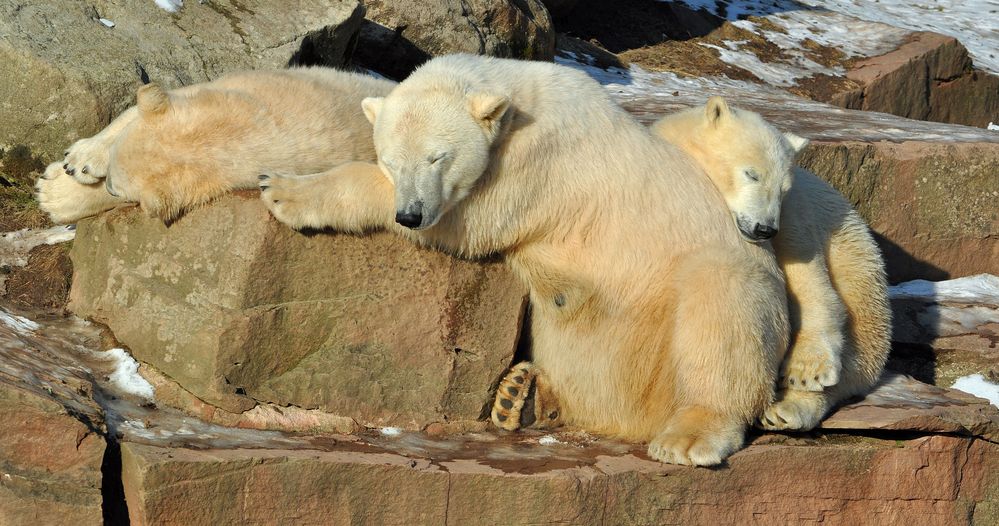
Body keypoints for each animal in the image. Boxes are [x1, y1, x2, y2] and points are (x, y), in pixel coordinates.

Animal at [36, 67, 394, 224]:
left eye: (119, 189)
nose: (109, 185)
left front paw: (52, 195)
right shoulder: (235, 86)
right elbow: (137, 110)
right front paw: (79, 160)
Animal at [652, 99, 896, 434]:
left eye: (783, 187)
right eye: (751, 174)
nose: (764, 228)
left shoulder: (794, 212)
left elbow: (809, 279)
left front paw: (807, 370)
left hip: (859, 267)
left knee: (857, 354)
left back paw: (787, 409)